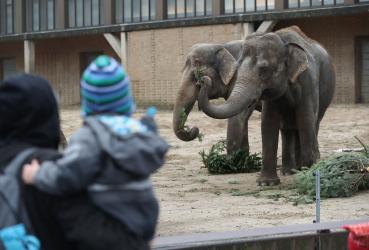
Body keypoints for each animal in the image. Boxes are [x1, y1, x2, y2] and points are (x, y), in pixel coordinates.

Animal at [197, 25, 334, 186]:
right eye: (237, 67)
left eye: (263, 68)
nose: (203, 79)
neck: (282, 40)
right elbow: (268, 123)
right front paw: (266, 183)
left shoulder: (307, 81)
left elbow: (305, 120)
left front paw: (309, 176)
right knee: (287, 129)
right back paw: (290, 171)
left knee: (313, 123)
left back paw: (300, 169)